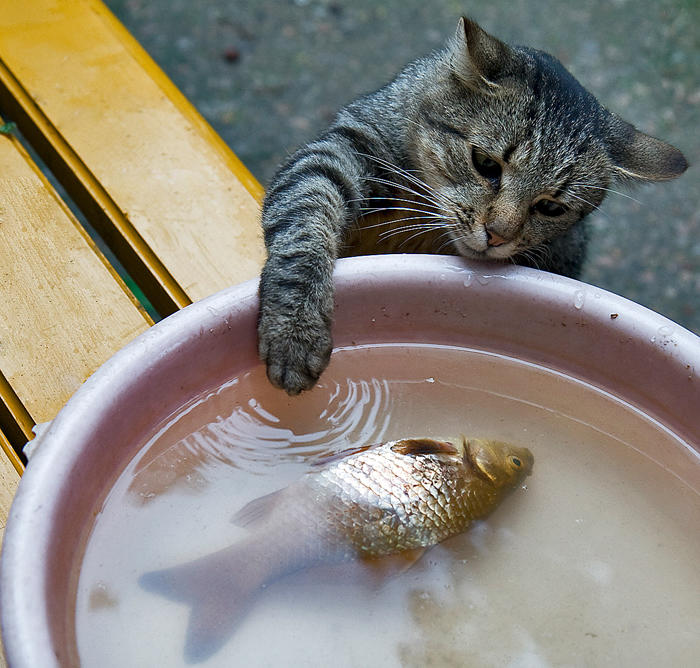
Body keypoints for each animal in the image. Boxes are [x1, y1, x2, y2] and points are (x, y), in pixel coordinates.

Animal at [254, 17, 688, 396]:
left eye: (550, 207)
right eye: (486, 164)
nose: (497, 234)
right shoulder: (344, 149)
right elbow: (305, 219)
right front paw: (295, 328)